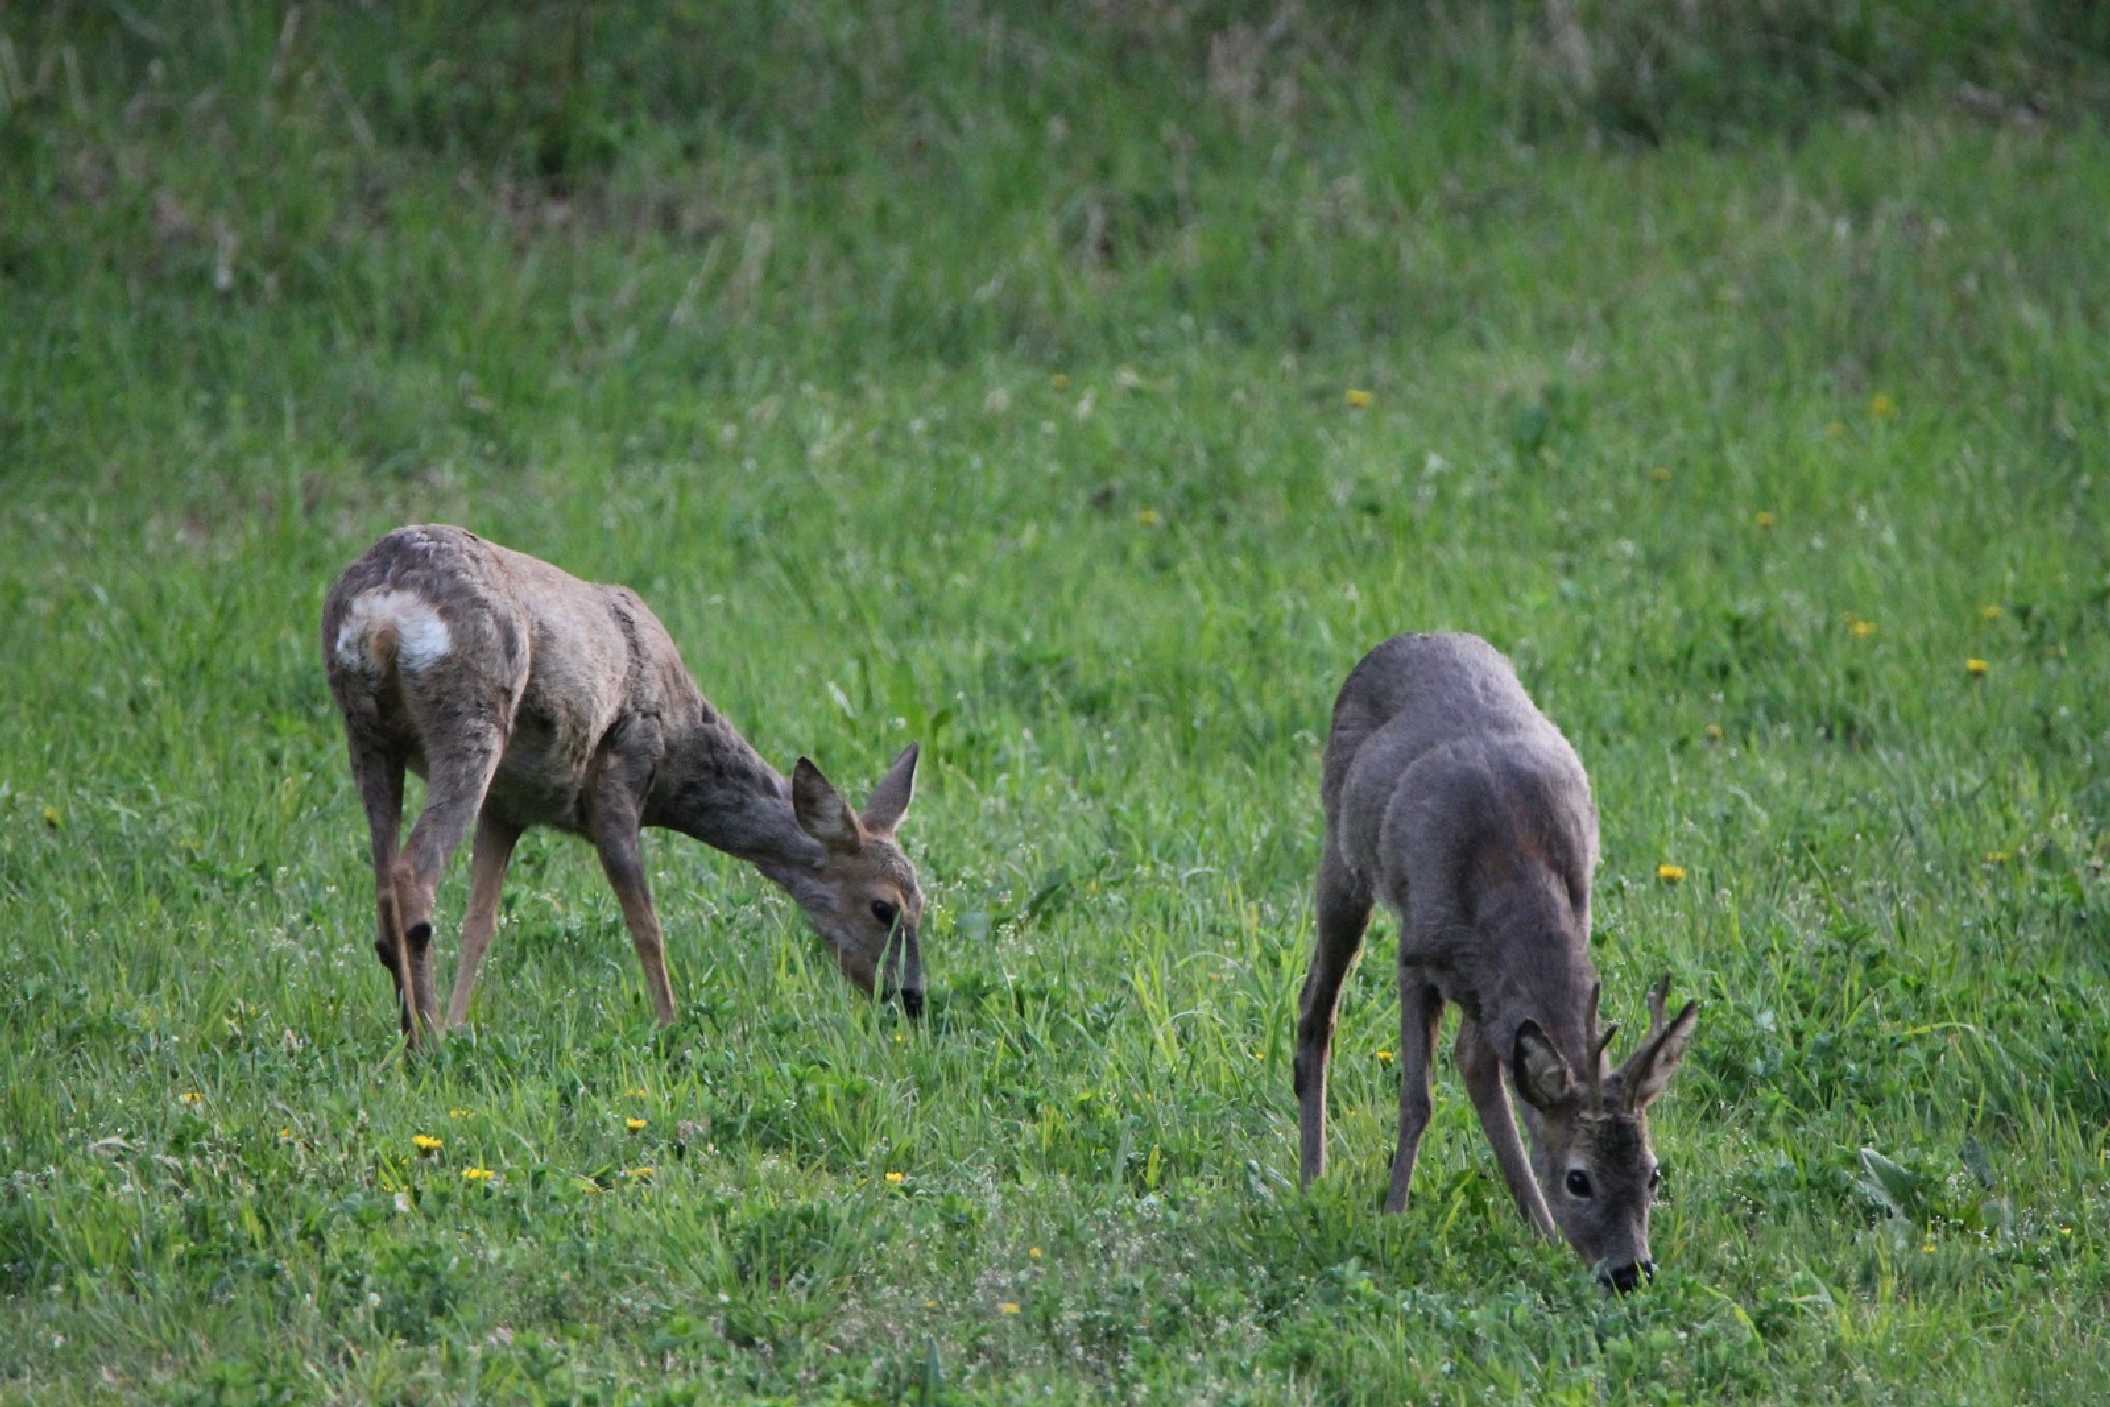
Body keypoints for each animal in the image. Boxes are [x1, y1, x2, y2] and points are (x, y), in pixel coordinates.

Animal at [318, 527, 924, 1046]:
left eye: (922, 902)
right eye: (884, 908)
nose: (912, 998)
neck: (681, 749)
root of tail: (380, 613)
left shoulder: (507, 806)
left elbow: (480, 922)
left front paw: (463, 1022)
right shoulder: (620, 777)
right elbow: (646, 923)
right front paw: (671, 1027)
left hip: (367, 738)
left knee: (384, 888)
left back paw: (415, 1034)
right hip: (470, 719)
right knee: (413, 874)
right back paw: (427, 1043)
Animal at [1282, 632, 1696, 1290]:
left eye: (1653, 1173)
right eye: (1578, 1179)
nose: (1630, 1271)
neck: (1512, 866)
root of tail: (1406, 638)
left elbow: (1478, 1066)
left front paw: (1543, 1232)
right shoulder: (1416, 950)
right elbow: (1417, 1098)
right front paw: (1393, 1215)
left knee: (1475, 1060)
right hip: (1340, 858)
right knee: (1315, 1008)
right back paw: (1311, 1182)